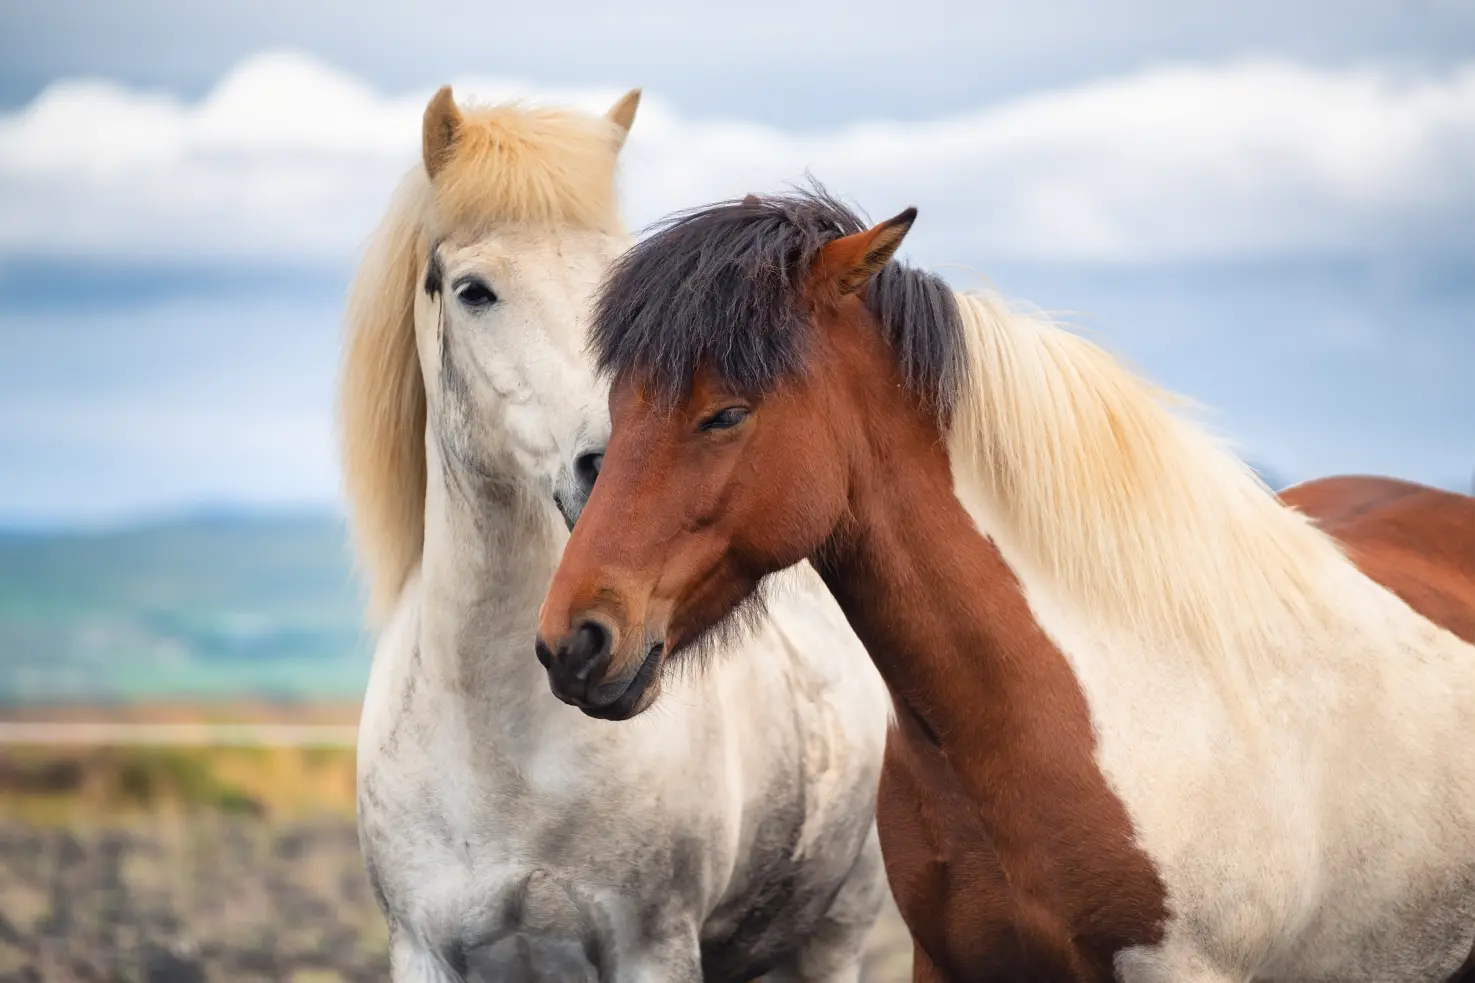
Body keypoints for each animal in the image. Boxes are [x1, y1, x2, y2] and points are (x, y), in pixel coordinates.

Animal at [337, 88, 885, 974]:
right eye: (473, 290)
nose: (611, 466)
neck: (507, 750)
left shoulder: (652, 948)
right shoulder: (420, 950)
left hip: (833, 938)